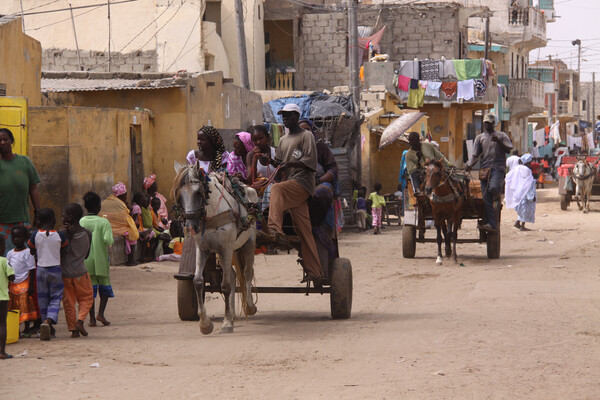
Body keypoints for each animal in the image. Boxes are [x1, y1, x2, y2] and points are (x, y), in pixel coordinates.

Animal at [172, 162, 258, 334]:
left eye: (199, 193)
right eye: (179, 195)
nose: (190, 227)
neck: (212, 213)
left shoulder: (225, 248)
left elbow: (225, 285)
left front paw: (226, 324)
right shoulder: (202, 249)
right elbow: (198, 281)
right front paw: (205, 324)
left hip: (248, 243)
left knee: (247, 272)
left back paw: (250, 307)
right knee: (232, 275)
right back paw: (232, 314)